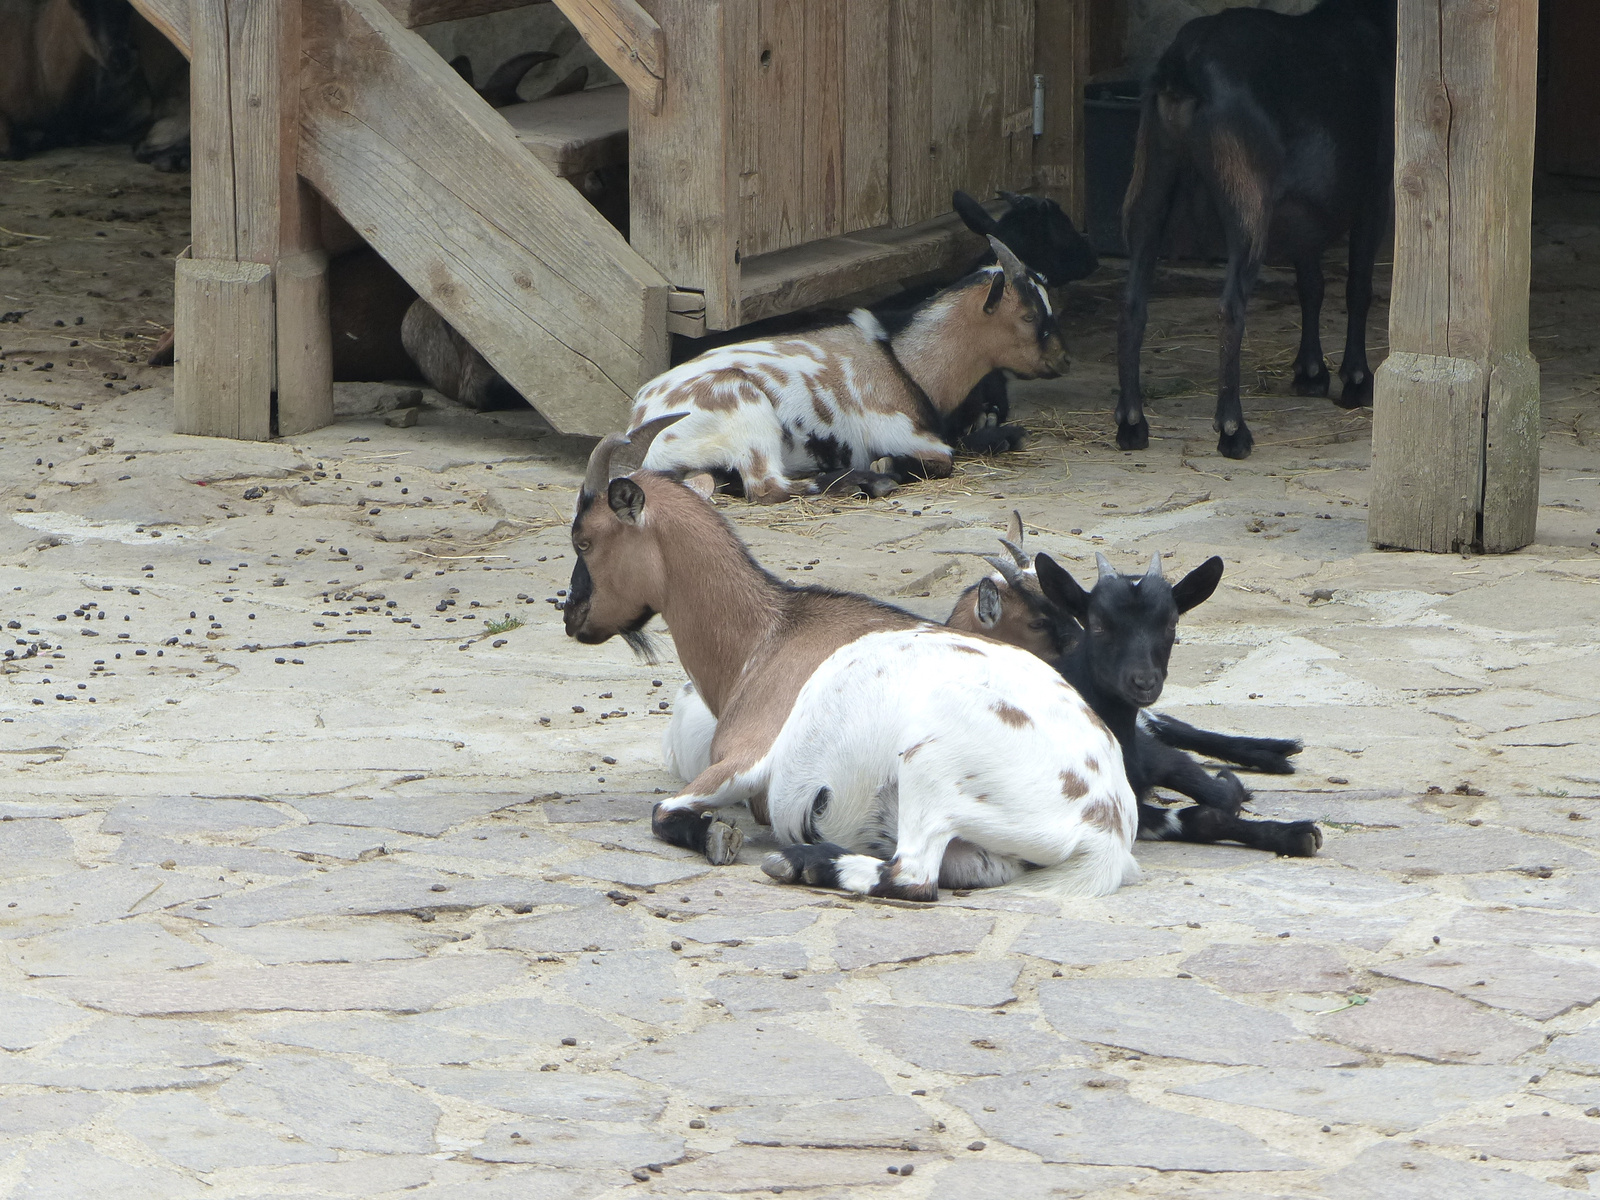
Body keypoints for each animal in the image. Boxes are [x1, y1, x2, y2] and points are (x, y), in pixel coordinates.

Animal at [630, 236, 1068, 505]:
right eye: (1030, 316)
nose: (1063, 359)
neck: (905, 361)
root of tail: (642, 425)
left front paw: (1004, 435)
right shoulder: (902, 432)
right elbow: (944, 458)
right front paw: (886, 466)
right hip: (746, 411)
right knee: (767, 487)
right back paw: (868, 481)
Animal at [1120, 0, 1395, 460]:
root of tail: (1183, 64)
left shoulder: (1305, 214)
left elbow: (1311, 286)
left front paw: (1310, 372)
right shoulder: (1374, 192)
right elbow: (1357, 287)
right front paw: (1357, 380)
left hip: (1151, 181)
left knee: (1133, 302)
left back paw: (1131, 424)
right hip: (1246, 203)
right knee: (1230, 307)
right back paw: (1233, 430)